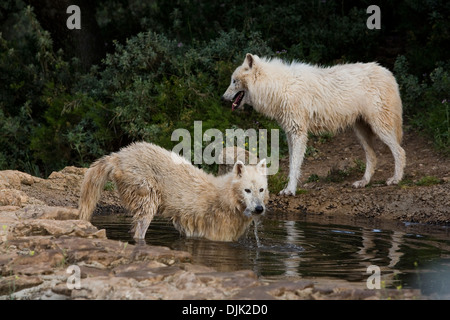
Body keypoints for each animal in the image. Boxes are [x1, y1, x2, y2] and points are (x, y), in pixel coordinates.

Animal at [78, 141, 268, 241]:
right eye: (247, 190)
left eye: (261, 189)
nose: (259, 209)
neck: (227, 199)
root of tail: (119, 155)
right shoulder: (217, 234)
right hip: (146, 195)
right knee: (140, 228)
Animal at [223, 53, 406, 195]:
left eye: (234, 81)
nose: (222, 98)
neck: (279, 87)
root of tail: (388, 73)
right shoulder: (290, 133)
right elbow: (292, 164)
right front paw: (288, 189)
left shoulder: (298, 133)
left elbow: (294, 165)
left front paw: (290, 191)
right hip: (361, 132)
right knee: (373, 157)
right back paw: (363, 182)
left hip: (380, 128)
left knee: (400, 151)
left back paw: (395, 179)